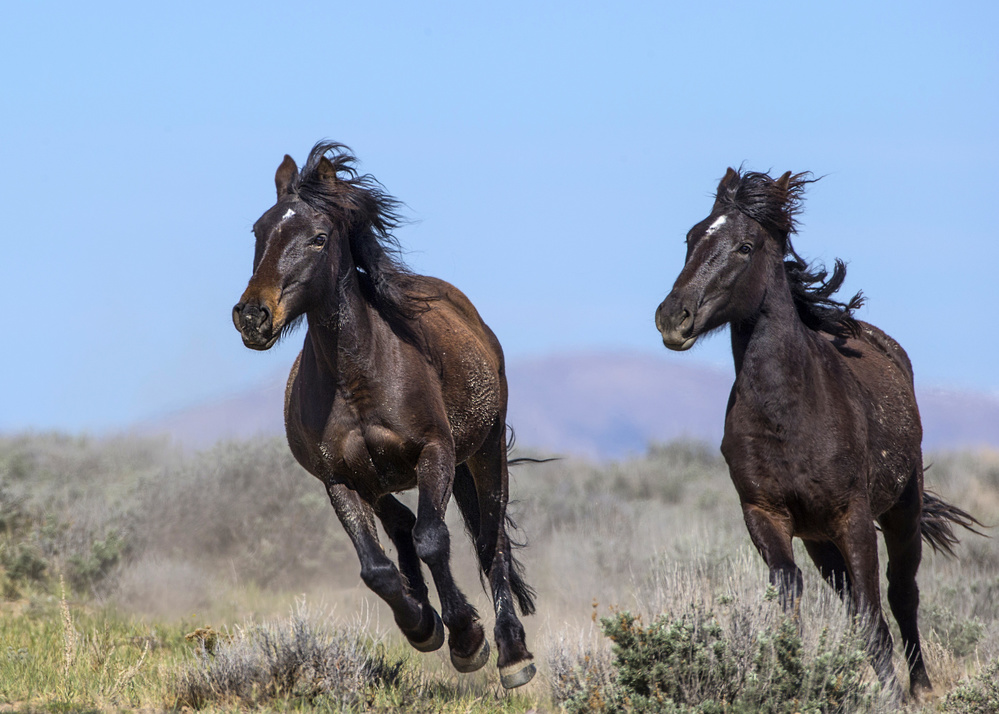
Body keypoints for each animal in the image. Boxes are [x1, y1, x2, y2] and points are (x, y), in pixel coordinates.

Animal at [232, 142, 537, 688]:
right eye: (258, 232)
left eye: (319, 238)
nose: (252, 316)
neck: (359, 379)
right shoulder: (339, 479)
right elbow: (376, 568)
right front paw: (423, 625)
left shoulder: (435, 452)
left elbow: (433, 539)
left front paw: (468, 638)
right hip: (380, 482)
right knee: (401, 530)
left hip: (483, 453)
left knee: (491, 542)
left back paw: (512, 653)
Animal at [654, 168, 982, 699]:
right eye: (691, 238)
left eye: (745, 246)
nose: (672, 318)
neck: (788, 414)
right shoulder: (765, 514)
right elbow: (791, 597)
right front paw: (787, 674)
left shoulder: (853, 516)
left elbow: (872, 613)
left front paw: (891, 697)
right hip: (820, 540)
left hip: (901, 510)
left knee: (901, 594)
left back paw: (920, 686)